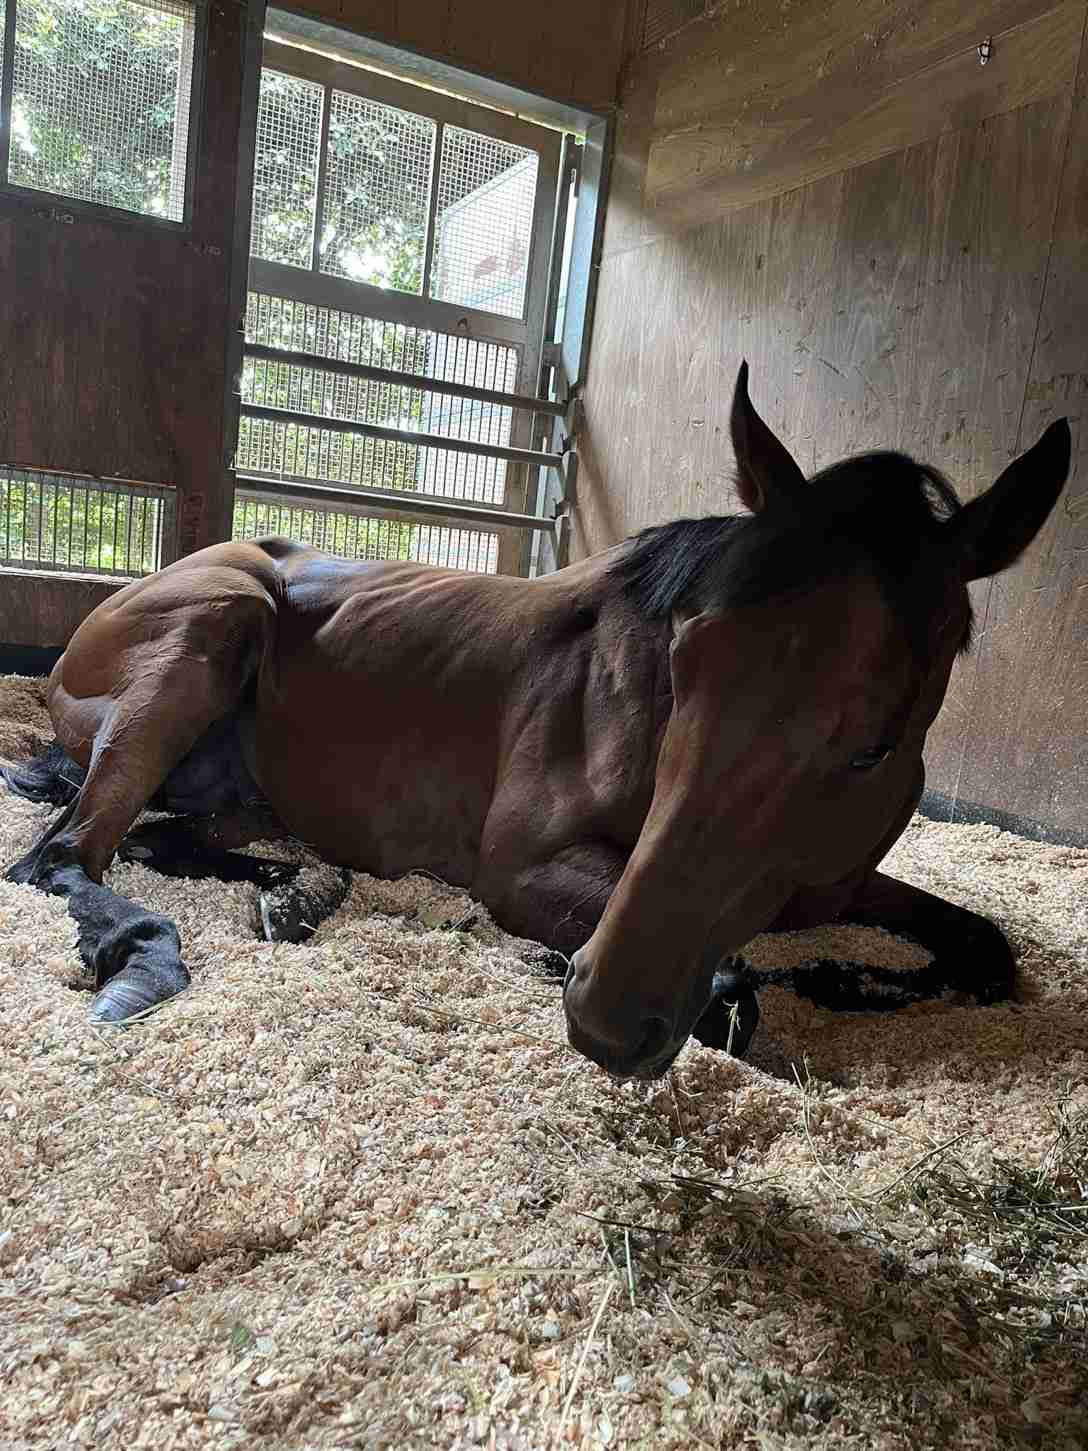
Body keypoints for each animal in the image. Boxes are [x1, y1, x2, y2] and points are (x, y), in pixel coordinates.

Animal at [3, 365, 1071, 1079]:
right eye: (687, 660)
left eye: (874, 744)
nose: (605, 1011)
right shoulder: (528, 869)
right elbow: (734, 994)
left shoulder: (836, 882)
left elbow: (985, 948)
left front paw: (848, 980)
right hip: (215, 626)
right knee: (63, 857)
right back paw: (155, 960)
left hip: (235, 792)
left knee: (173, 842)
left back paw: (295, 897)